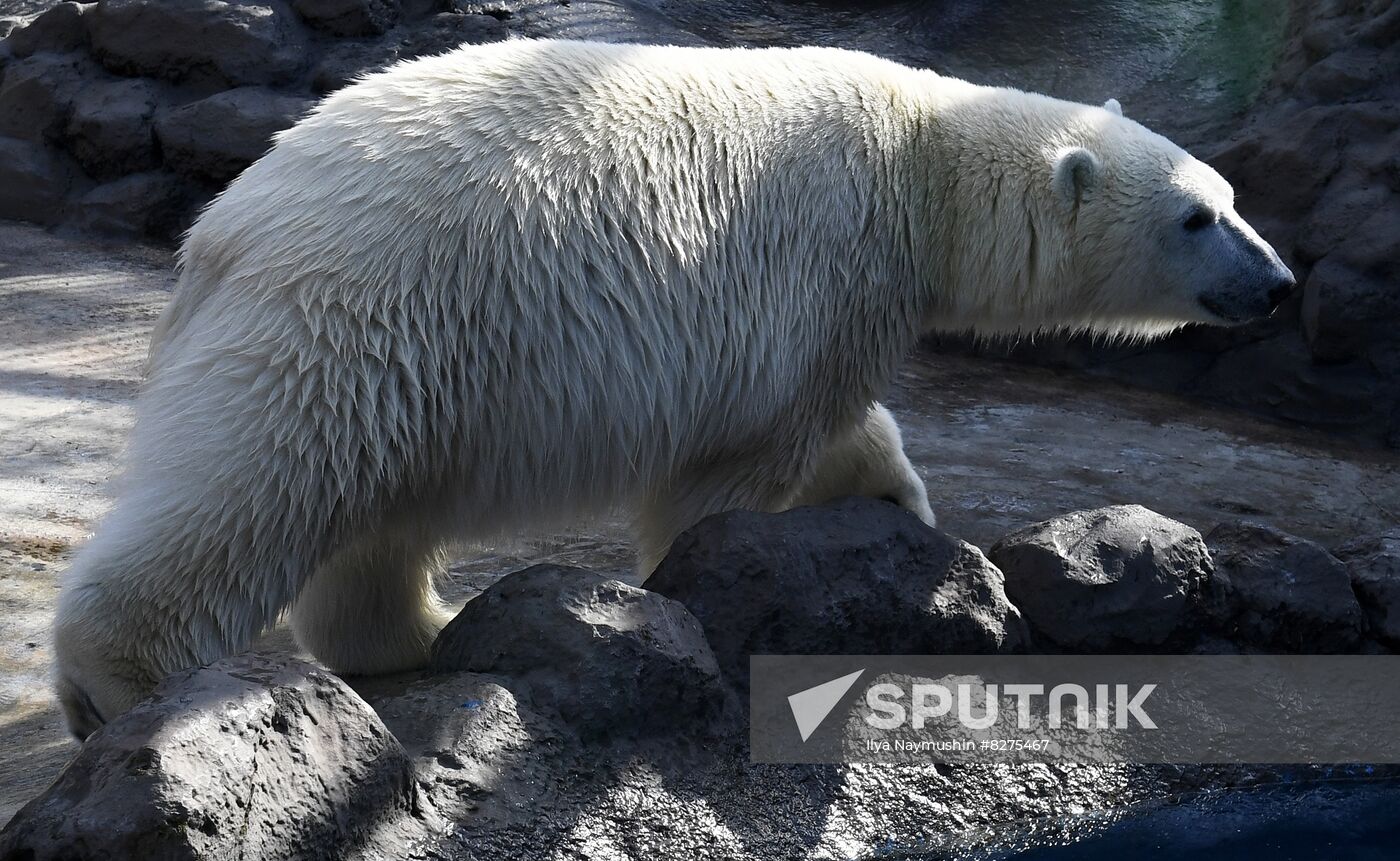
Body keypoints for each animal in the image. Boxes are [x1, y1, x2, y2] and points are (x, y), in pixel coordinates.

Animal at [54, 39, 1294, 738]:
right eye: (1198, 215)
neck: (919, 159)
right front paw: (706, 591)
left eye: (1233, 198)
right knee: (258, 479)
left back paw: (416, 631)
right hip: (356, 314)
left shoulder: (842, 298)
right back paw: (124, 681)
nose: (1279, 283)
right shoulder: (823, 264)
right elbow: (740, 461)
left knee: (369, 517)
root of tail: (225, 225)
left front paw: (895, 507)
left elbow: (842, 422)